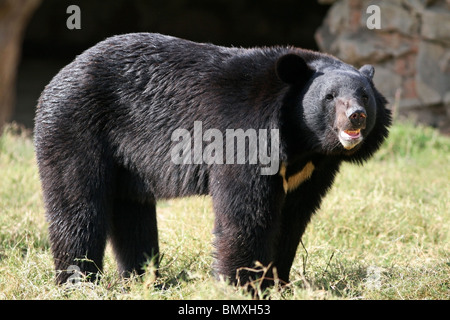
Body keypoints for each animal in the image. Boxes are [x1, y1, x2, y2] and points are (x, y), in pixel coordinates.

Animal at [34, 33, 390, 288]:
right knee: (77, 204)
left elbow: (293, 217)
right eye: (330, 97)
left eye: (364, 96)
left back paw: (142, 279)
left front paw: (278, 282)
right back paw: (78, 280)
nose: (356, 116)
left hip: (126, 159)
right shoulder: (246, 133)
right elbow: (245, 211)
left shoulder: (313, 170)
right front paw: (240, 283)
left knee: (132, 213)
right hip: (75, 127)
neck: (303, 142)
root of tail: (58, 77)